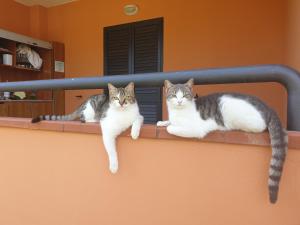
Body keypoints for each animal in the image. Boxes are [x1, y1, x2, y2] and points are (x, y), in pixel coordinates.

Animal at [157, 79, 288, 204]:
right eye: (174, 95)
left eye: (184, 95)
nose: (179, 101)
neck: (179, 112)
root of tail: (268, 108)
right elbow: (169, 122)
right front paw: (163, 122)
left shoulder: (196, 129)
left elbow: (172, 128)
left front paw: (169, 126)